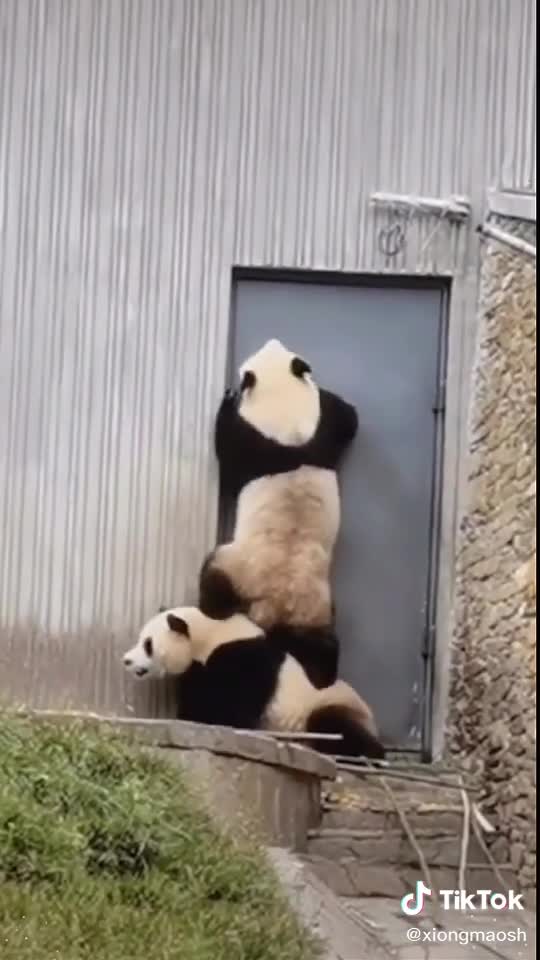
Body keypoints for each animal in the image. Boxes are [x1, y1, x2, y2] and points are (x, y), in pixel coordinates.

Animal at [122, 606, 385, 759]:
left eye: (148, 644)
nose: (126, 660)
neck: (210, 633)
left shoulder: (246, 661)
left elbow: (233, 708)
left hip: (330, 706)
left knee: (332, 723)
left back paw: (367, 752)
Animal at [199, 338, 358, 689]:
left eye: (246, 367)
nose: (271, 340)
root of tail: (275, 608)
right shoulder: (321, 427)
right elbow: (348, 417)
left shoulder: (253, 442)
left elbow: (229, 460)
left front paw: (228, 399)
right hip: (316, 603)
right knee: (322, 644)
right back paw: (323, 676)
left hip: (240, 565)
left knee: (214, 575)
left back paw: (212, 609)